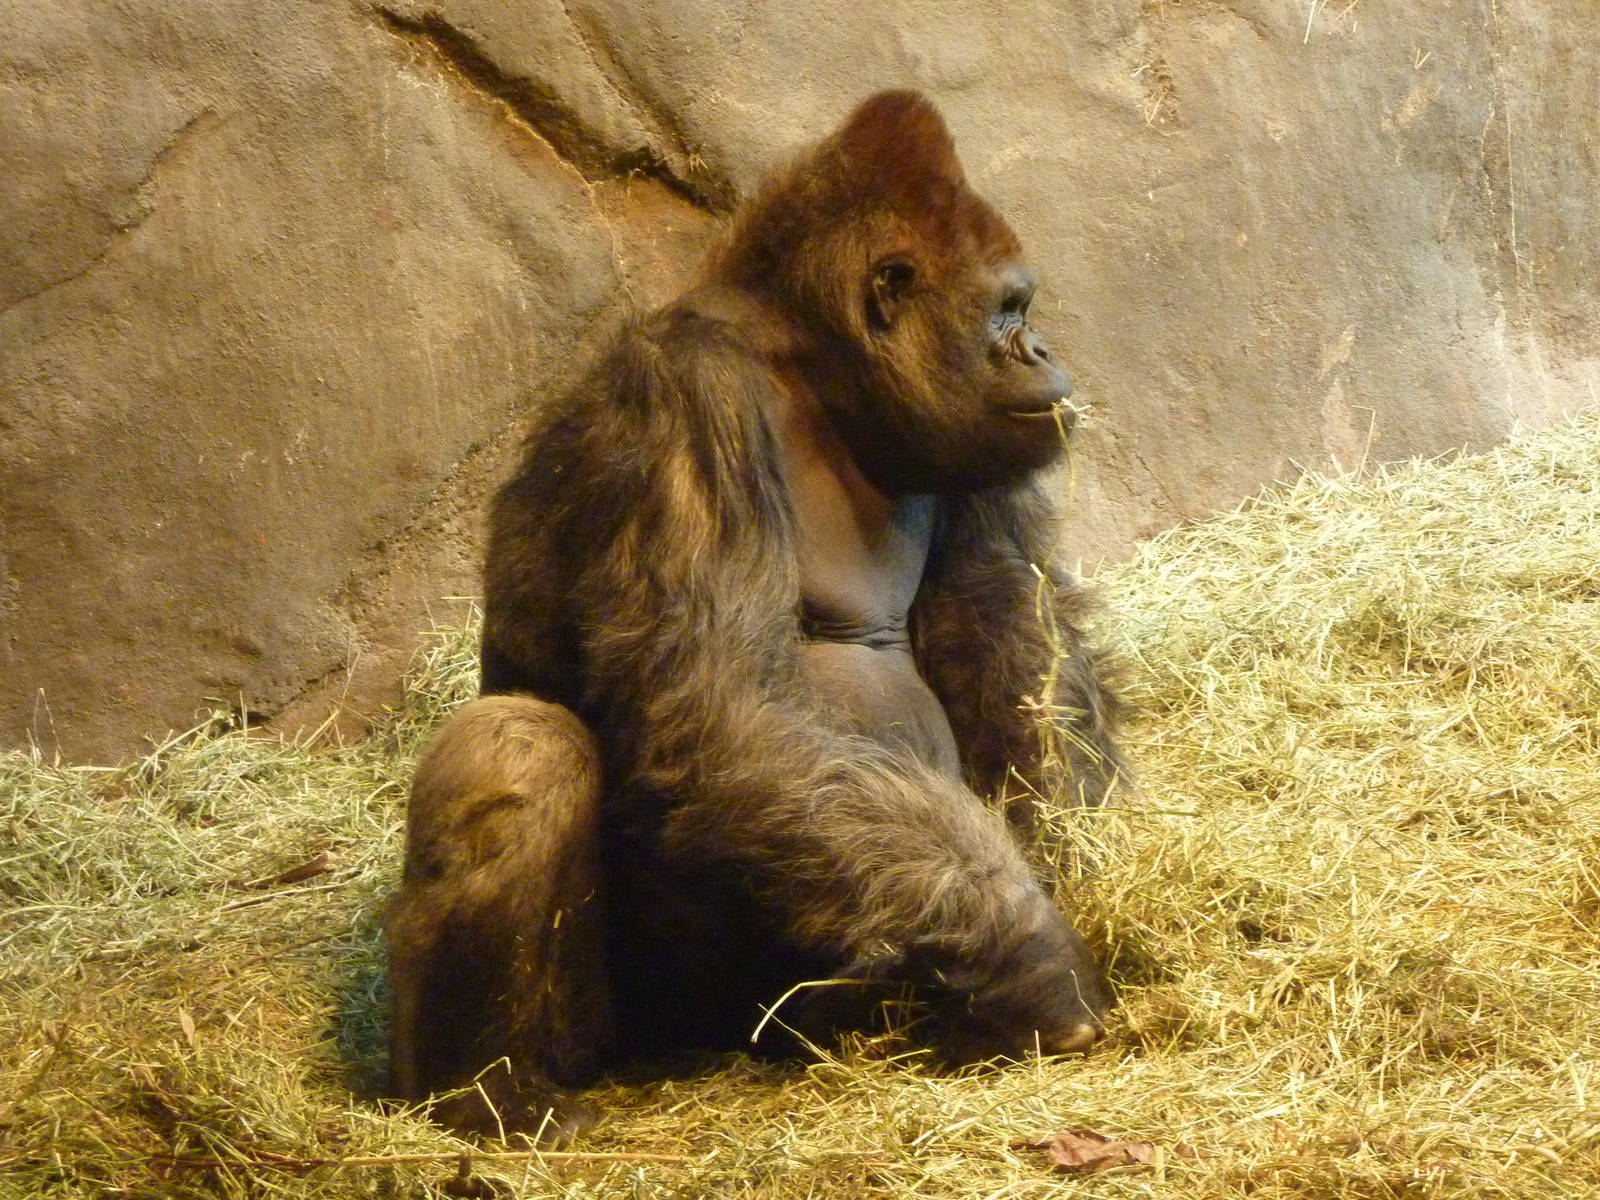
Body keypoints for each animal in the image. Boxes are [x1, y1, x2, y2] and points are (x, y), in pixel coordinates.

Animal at [387, 89, 1124, 1140]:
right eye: (1008, 310)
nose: (1044, 351)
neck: (812, 365)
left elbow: (1005, 629)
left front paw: (1074, 866)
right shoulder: (683, 403)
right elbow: (719, 713)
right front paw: (1034, 952)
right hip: (632, 1031)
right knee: (517, 747)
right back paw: (490, 1092)